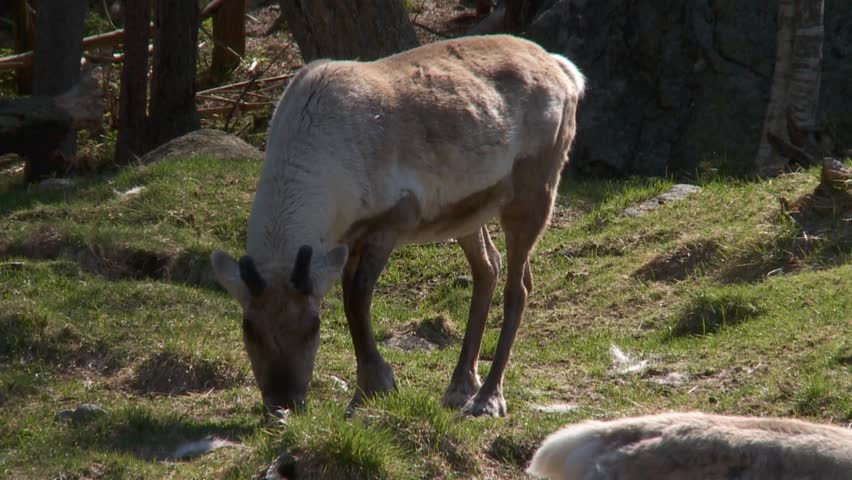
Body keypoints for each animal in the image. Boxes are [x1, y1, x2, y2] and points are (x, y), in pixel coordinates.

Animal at [210, 34, 585, 417]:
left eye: (313, 326)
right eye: (248, 327)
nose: (283, 402)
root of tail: (563, 69)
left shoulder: (390, 222)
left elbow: (358, 296)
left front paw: (375, 386)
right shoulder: (347, 238)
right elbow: (350, 297)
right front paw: (369, 385)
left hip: (534, 189)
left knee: (519, 286)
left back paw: (487, 398)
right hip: (468, 213)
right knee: (488, 267)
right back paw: (460, 386)